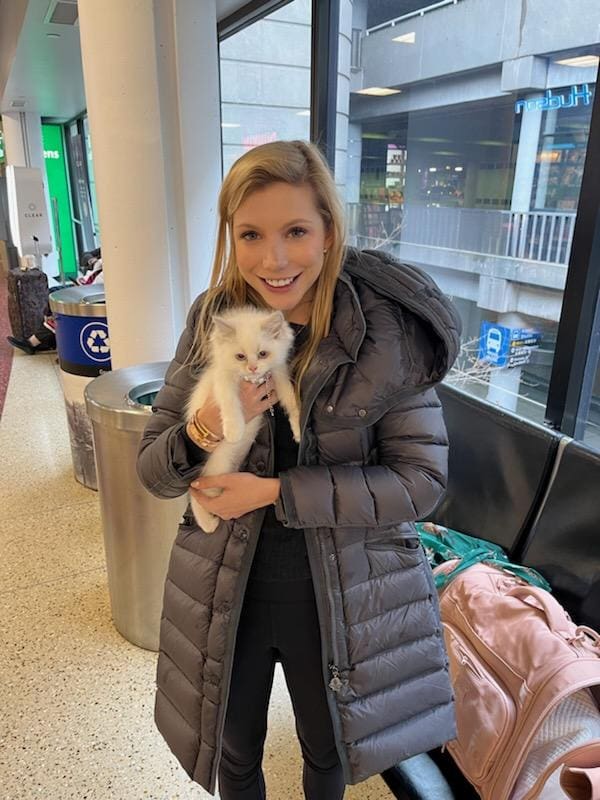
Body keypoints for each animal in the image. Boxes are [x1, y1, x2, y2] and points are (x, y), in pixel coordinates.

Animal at [186, 306, 302, 532]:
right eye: (240, 356)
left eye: (263, 354)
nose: (253, 368)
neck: (252, 379)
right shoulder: (223, 381)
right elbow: (231, 403)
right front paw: (234, 431)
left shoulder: (278, 375)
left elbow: (291, 401)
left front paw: (299, 429)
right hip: (216, 468)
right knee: (196, 493)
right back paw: (208, 524)